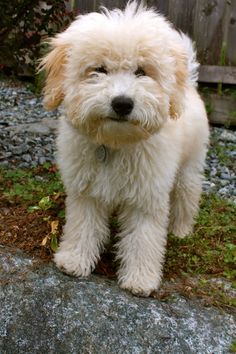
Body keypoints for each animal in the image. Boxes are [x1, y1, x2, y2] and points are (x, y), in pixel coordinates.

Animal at [40, 1, 208, 296]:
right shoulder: (86, 191)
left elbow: (143, 238)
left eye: (141, 71)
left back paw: (181, 229)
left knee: (187, 194)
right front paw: (74, 259)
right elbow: (83, 225)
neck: (116, 144)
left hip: (190, 164)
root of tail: (188, 82)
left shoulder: (147, 196)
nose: (122, 103)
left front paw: (141, 279)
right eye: (98, 69)